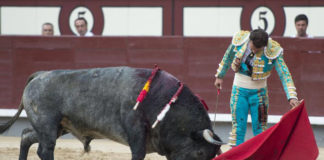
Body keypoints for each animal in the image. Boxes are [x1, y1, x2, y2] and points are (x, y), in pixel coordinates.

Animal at [0, 66, 223, 160]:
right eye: (200, 152)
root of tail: (40, 75)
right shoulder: (135, 129)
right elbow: (138, 154)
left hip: (58, 127)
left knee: (26, 136)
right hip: (47, 125)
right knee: (45, 150)